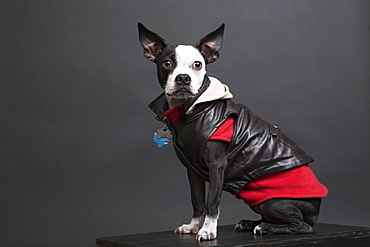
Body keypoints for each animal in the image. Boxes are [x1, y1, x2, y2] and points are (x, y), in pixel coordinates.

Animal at [138, 22, 326, 241]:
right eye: (167, 63)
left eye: (197, 65)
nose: (183, 78)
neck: (189, 109)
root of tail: (317, 208)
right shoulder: (192, 169)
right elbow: (197, 200)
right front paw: (192, 226)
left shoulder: (217, 165)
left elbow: (212, 201)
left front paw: (208, 230)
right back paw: (250, 223)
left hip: (273, 203)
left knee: (302, 225)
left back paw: (266, 227)